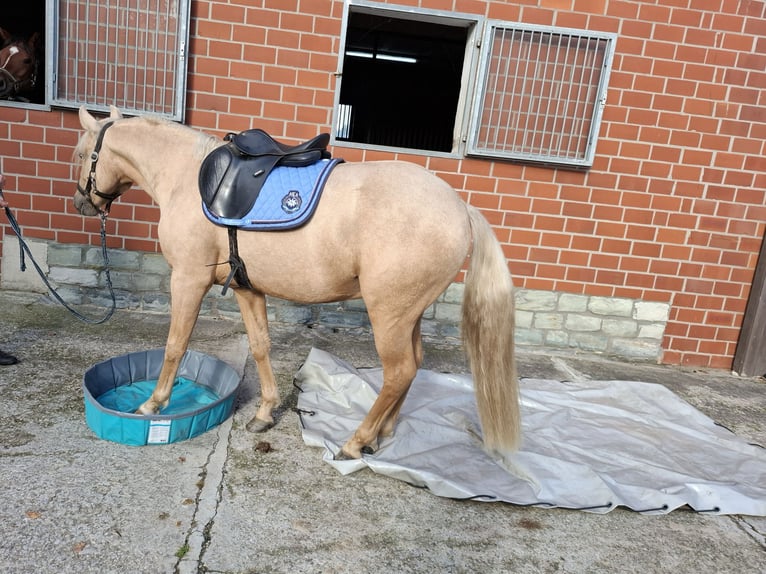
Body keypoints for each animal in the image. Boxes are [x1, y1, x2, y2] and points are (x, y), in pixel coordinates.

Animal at [72, 106, 520, 462]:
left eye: (80, 153)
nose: (81, 204)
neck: (186, 176)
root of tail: (459, 206)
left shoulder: (188, 278)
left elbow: (174, 346)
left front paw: (152, 404)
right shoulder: (246, 288)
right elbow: (260, 346)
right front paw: (264, 413)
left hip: (389, 314)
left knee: (399, 371)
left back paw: (356, 442)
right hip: (408, 314)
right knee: (414, 366)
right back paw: (383, 433)